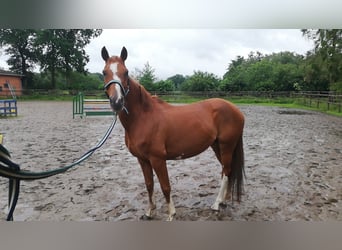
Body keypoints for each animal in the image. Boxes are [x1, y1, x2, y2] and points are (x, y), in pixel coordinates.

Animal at [101, 47, 246, 221]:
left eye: (126, 72)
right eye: (104, 72)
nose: (117, 102)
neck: (143, 117)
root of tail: (236, 110)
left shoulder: (157, 159)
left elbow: (165, 186)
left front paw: (171, 214)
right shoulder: (142, 160)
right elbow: (149, 185)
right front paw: (149, 212)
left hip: (226, 146)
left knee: (226, 171)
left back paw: (217, 204)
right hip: (217, 146)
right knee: (227, 170)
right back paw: (223, 201)